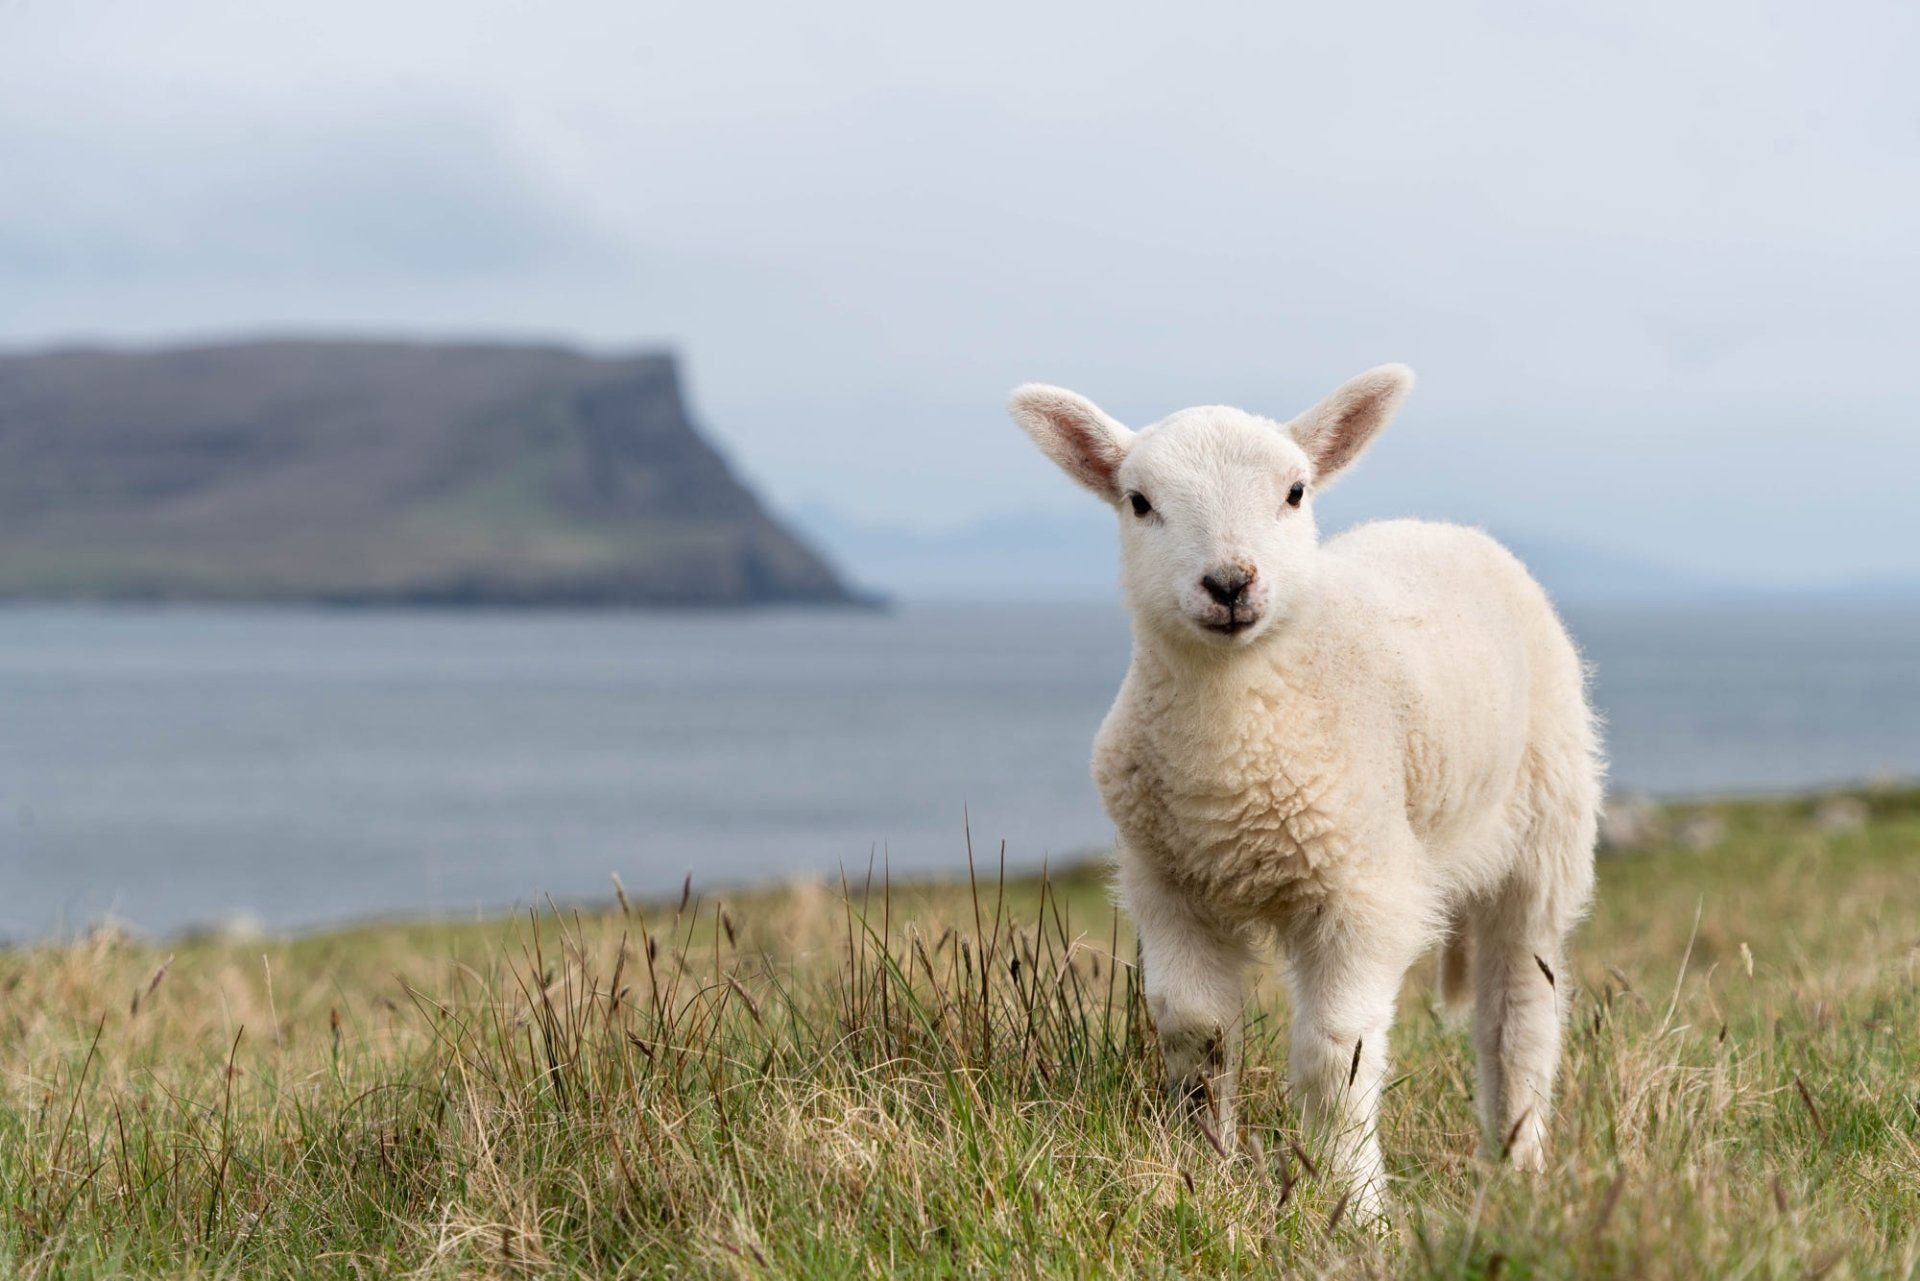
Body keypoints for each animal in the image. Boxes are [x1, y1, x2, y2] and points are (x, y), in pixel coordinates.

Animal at [1007, 366, 1601, 1219]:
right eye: (1139, 501)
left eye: (1294, 491)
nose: (1230, 583)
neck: (1234, 751)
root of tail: (1444, 527)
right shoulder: (1167, 883)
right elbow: (1196, 1033)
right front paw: (1207, 1172)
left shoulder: (1363, 889)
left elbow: (1334, 1055)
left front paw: (1356, 1204)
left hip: (1546, 829)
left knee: (1518, 1012)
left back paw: (1518, 1166)